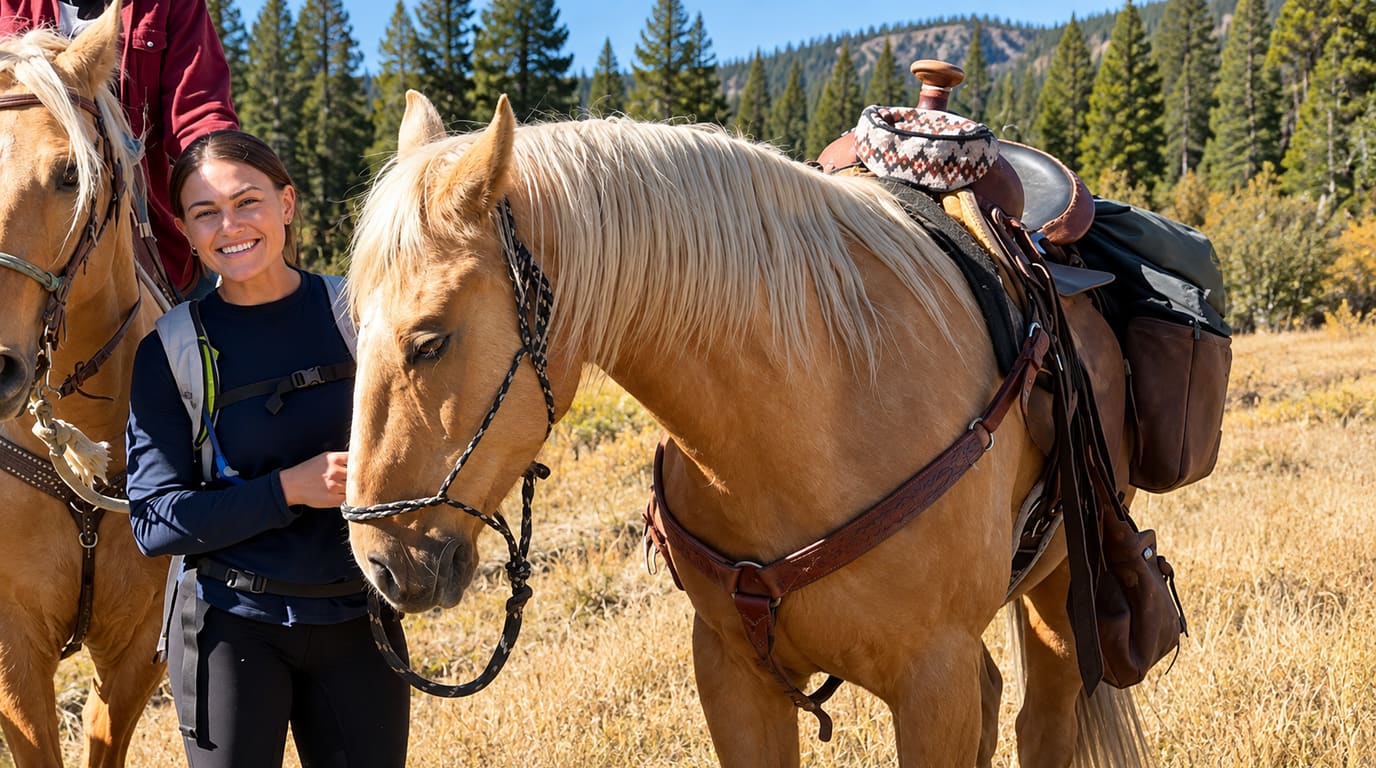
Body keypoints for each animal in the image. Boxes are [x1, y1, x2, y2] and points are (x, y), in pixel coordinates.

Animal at [342, 90, 1152, 767]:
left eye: (430, 341)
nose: (381, 562)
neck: (814, 409)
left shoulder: (934, 683)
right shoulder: (732, 677)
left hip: (1063, 586)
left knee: (1042, 722)